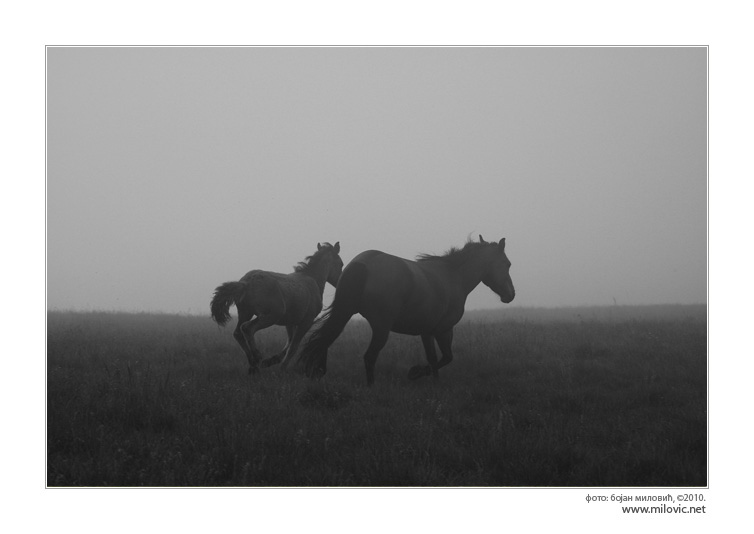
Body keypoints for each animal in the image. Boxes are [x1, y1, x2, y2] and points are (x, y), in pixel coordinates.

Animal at [210, 244, 342, 374]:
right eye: (341, 264)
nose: (339, 281)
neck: (313, 280)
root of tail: (246, 283)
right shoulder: (306, 322)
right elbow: (293, 347)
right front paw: (281, 368)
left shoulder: (290, 322)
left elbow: (289, 343)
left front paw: (271, 361)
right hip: (271, 316)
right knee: (247, 328)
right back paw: (257, 357)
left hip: (245, 313)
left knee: (238, 333)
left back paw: (253, 365)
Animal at [296, 237, 516, 388]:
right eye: (507, 264)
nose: (511, 295)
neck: (453, 277)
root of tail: (363, 263)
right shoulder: (443, 330)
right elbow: (446, 358)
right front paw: (416, 373)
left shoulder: (427, 332)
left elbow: (434, 359)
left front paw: (432, 380)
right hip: (381, 328)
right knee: (369, 356)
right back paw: (371, 387)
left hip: (345, 313)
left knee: (324, 340)